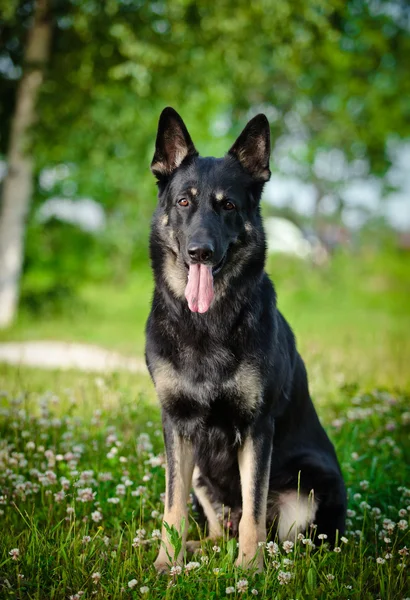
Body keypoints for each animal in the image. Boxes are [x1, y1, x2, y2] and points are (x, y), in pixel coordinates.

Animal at [146, 106, 344, 572]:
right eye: (184, 202)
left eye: (229, 206)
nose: (200, 252)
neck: (206, 325)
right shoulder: (176, 426)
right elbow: (172, 507)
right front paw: (166, 564)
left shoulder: (257, 428)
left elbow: (253, 506)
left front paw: (250, 569)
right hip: (201, 474)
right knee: (217, 531)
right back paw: (196, 550)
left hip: (309, 487)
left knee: (282, 538)